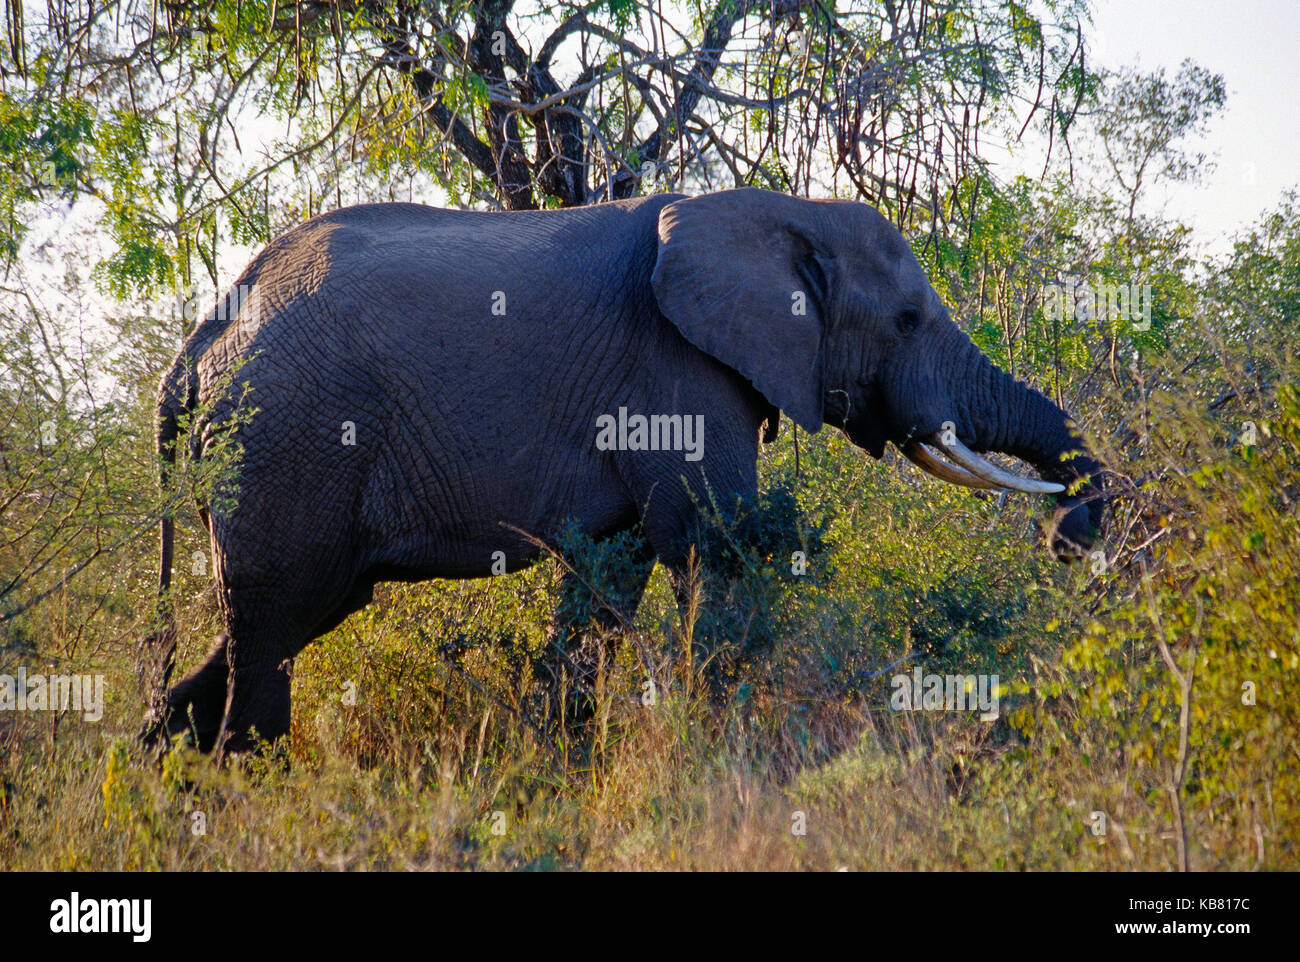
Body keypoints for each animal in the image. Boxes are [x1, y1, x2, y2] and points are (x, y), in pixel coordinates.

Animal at [139, 187, 1102, 755]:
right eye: (905, 320)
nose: (1068, 537)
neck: (781, 210)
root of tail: (198, 344)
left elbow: (614, 575)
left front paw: (560, 769)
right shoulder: (675, 366)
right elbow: (712, 547)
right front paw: (721, 760)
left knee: (282, 616)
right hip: (284, 439)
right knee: (274, 624)